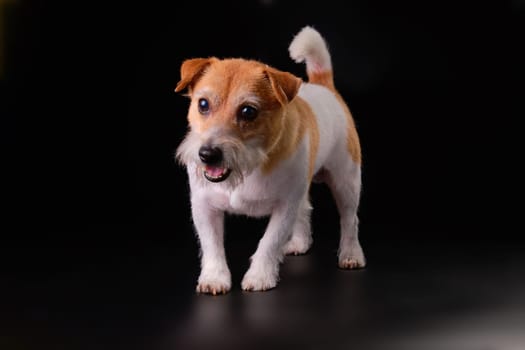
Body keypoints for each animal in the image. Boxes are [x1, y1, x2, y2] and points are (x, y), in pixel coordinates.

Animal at [175, 26, 364, 294]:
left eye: (248, 111)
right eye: (203, 104)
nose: (208, 154)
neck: (250, 166)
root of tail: (324, 86)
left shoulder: (284, 207)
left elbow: (269, 243)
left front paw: (259, 276)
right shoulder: (204, 206)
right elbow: (212, 245)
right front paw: (215, 277)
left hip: (346, 181)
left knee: (349, 218)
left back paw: (350, 253)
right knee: (305, 209)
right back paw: (299, 243)